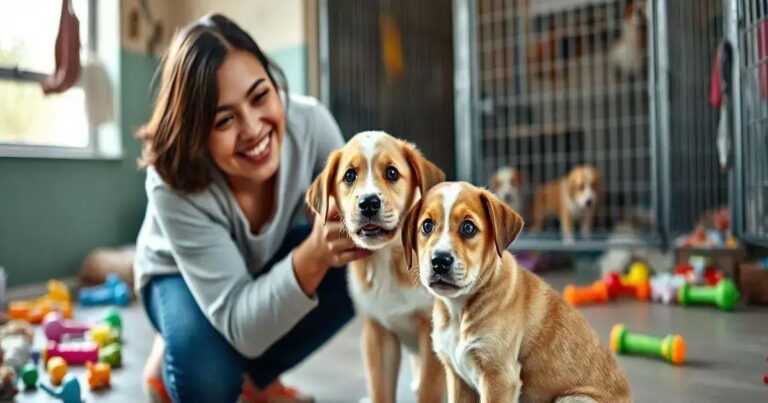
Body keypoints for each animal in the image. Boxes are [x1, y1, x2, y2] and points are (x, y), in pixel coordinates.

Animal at [306, 133, 448, 403]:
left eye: (392, 173)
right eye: (349, 175)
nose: (369, 203)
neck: (386, 259)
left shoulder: (431, 335)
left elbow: (429, 391)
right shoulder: (377, 332)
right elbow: (380, 390)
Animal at [402, 184, 632, 403]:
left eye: (468, 228)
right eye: (427, 226)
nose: (439, 260)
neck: (458, 311)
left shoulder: (499, 378)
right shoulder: (458, 377)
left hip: (570, 398)